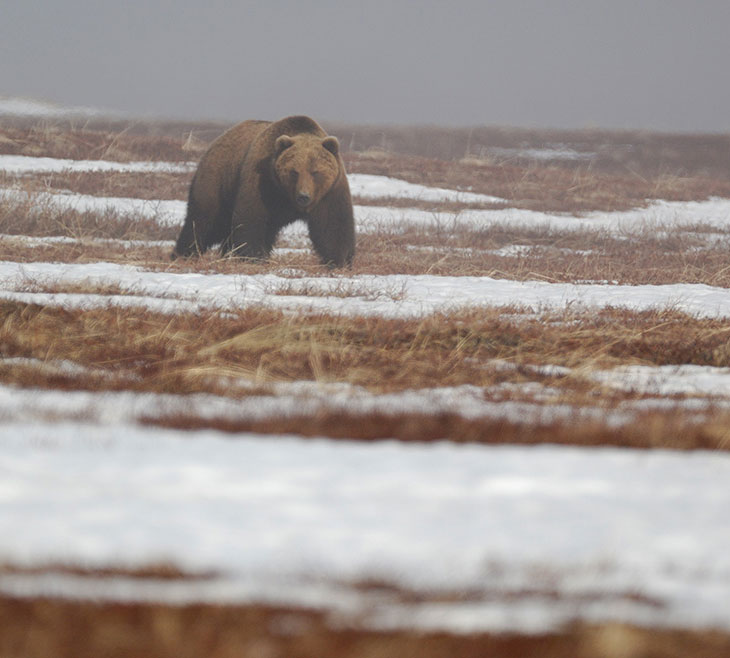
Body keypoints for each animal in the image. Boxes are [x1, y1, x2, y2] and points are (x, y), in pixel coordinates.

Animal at [171, 115, 352, 266]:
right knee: (204, 222)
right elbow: (251, 218)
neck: (286, 195)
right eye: (294, 172)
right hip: (217, 182)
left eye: (315, 172)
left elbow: (333, 225)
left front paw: (339, 261)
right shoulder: (262, 182)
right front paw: (253, 257)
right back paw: (183, 254)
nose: (303, 196)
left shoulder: (330, 192)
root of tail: (217, 141)